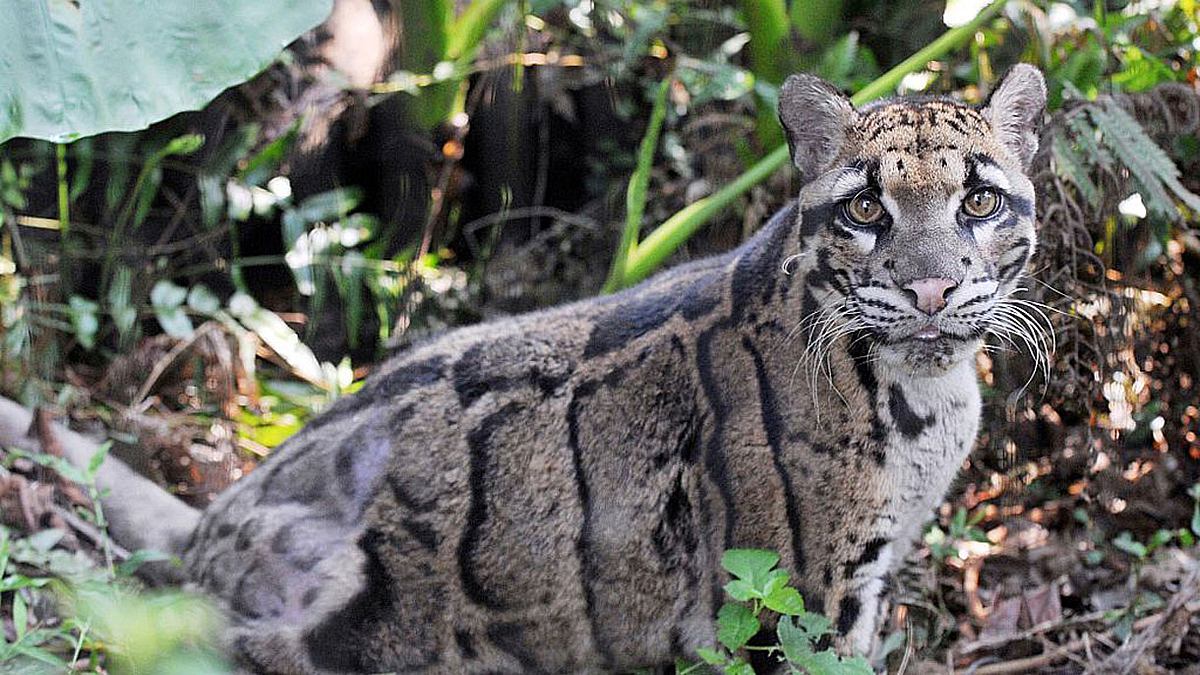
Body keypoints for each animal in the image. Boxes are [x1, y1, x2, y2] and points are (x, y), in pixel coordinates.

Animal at [0, 64, 1046, 672]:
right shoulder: (802, 599)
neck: (925, 394)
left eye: (980, 201)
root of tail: (216, 516)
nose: (931, 288)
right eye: (867, 210)